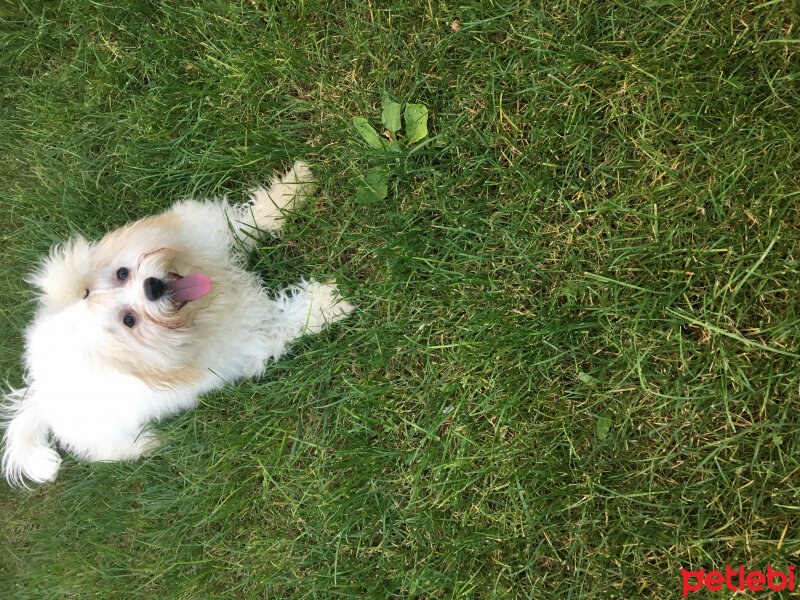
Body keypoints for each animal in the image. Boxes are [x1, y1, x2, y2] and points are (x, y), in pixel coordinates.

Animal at [0, 162, 354, 486]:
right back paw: (153, 444)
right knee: (115, 450)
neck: (205, 304)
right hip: (108, 437)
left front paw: (291, 190)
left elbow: (251, 220)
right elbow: (290, 318)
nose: (152, 287)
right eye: (129, 320)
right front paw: (329, 300)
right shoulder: (253, 335)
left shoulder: (214, 234)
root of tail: (40, 395)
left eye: (122, 274)